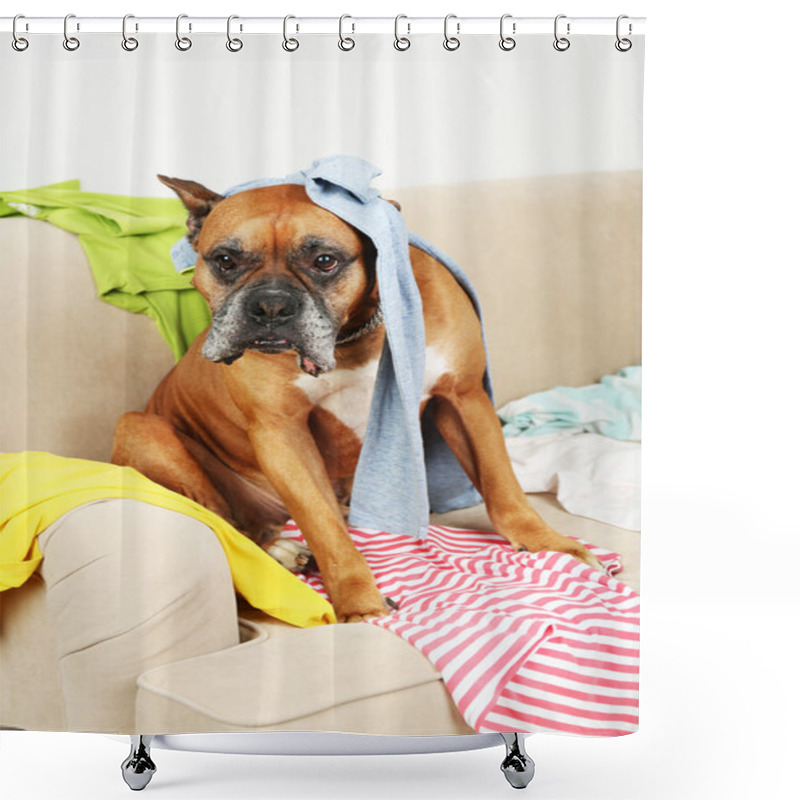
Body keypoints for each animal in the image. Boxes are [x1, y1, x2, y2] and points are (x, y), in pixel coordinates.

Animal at [112, 178, 600, 620]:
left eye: (325, 261)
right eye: (226, 260)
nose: (270, 306)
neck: (355, 333)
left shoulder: (463, 396)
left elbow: (503, 487)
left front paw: (550, 545)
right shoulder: (281, 433)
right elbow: (326, 531)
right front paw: (360, 605)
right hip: (142, 428)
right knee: (225, 524)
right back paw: (282, 551)